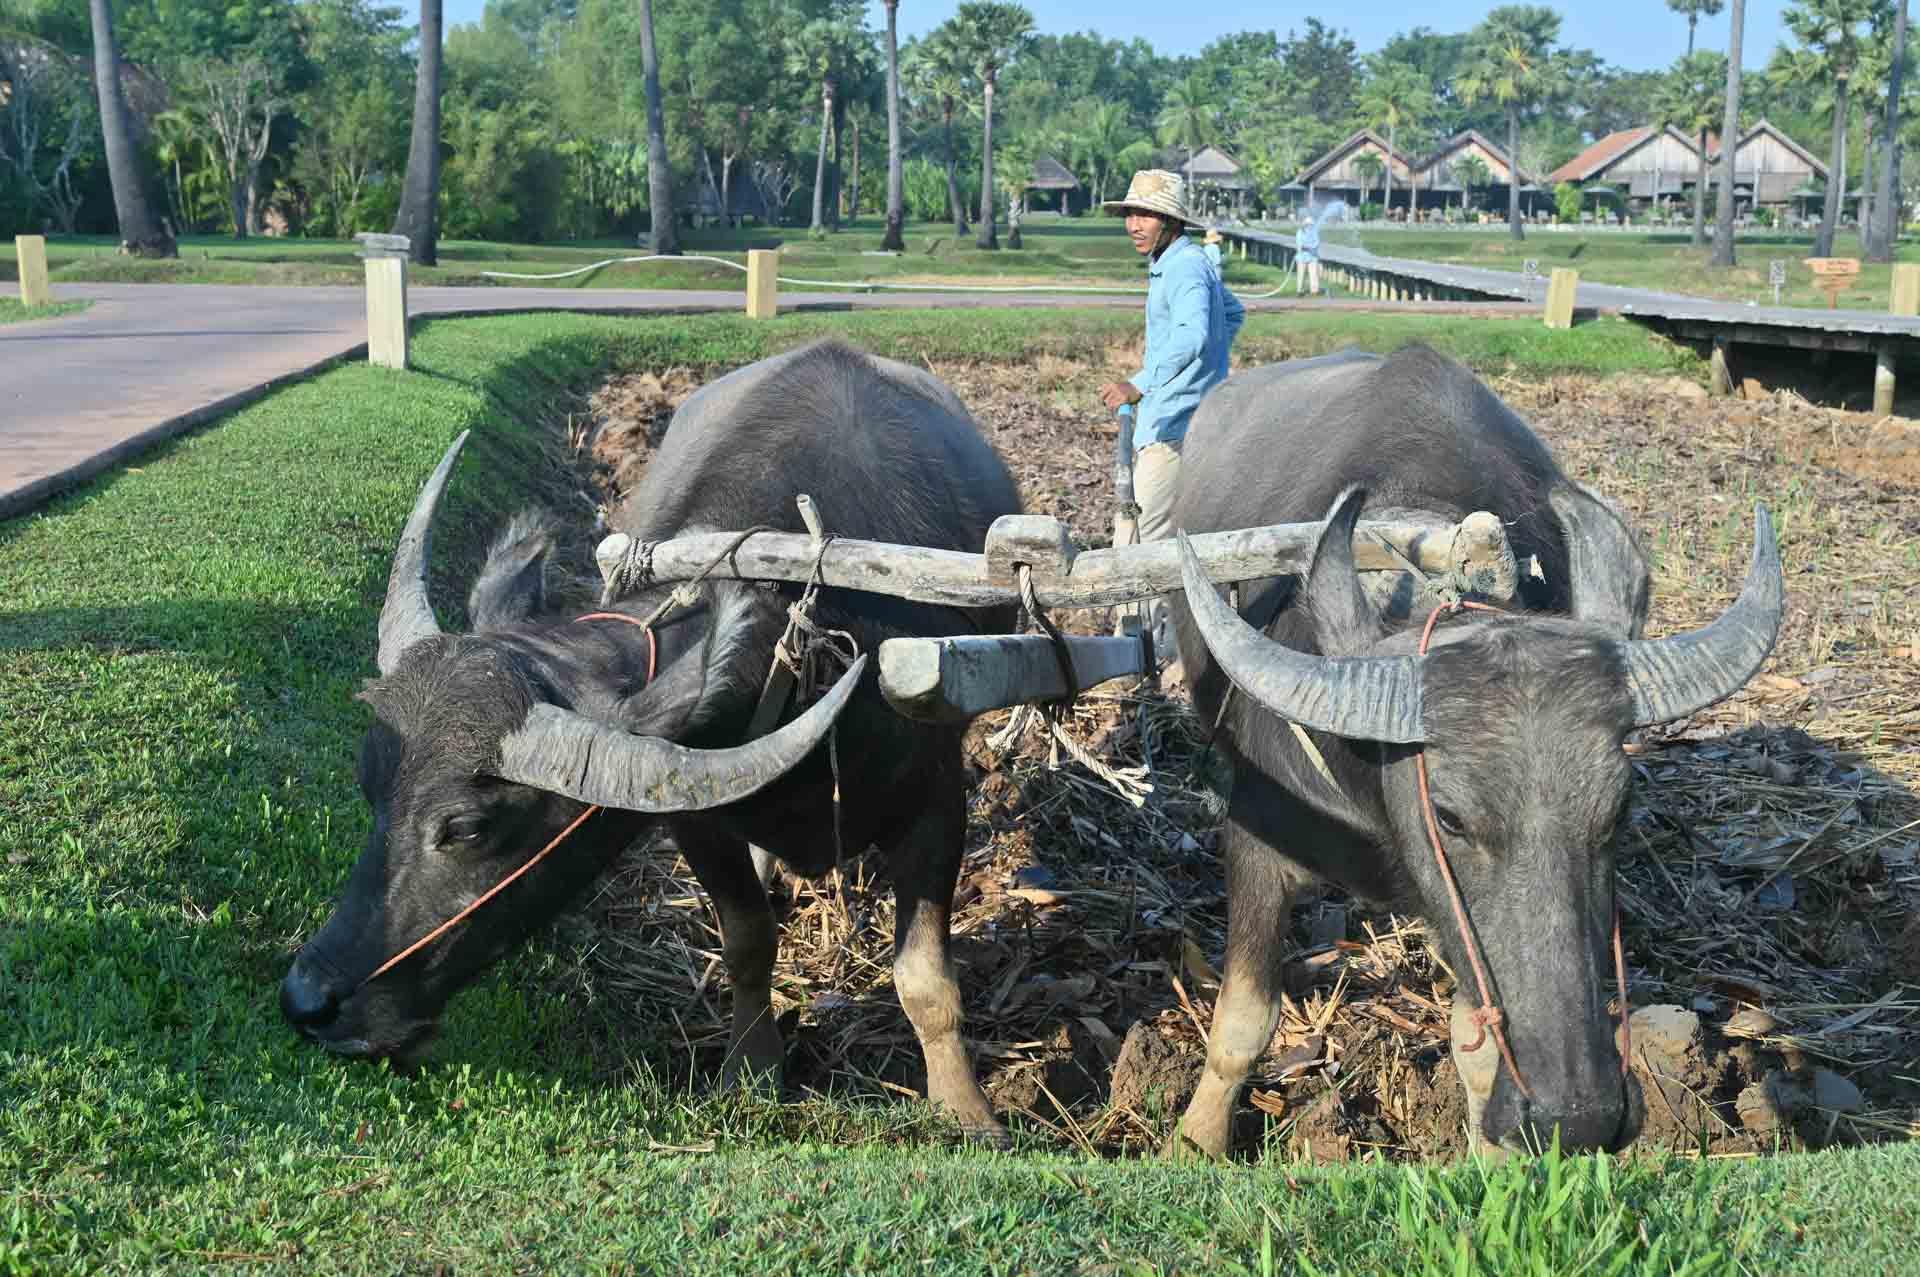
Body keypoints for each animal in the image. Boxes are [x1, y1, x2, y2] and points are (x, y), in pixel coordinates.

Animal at [280, 336, 1021, 1136]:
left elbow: (924, 977)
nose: (307, 1001)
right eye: (369, 788)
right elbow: (748, 940)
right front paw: (751, 1070)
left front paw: (966, 1110)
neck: (817, 642)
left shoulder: (937, 801)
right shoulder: (697, 821)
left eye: (466, 827)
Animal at [1167, 343, 1781, 1152]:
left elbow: (1481, 1052)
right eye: (1451, 817)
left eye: (1618, 809)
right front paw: (1193, 1140)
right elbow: (1243, 1020)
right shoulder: (1257, 840)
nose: (1578, 1115)